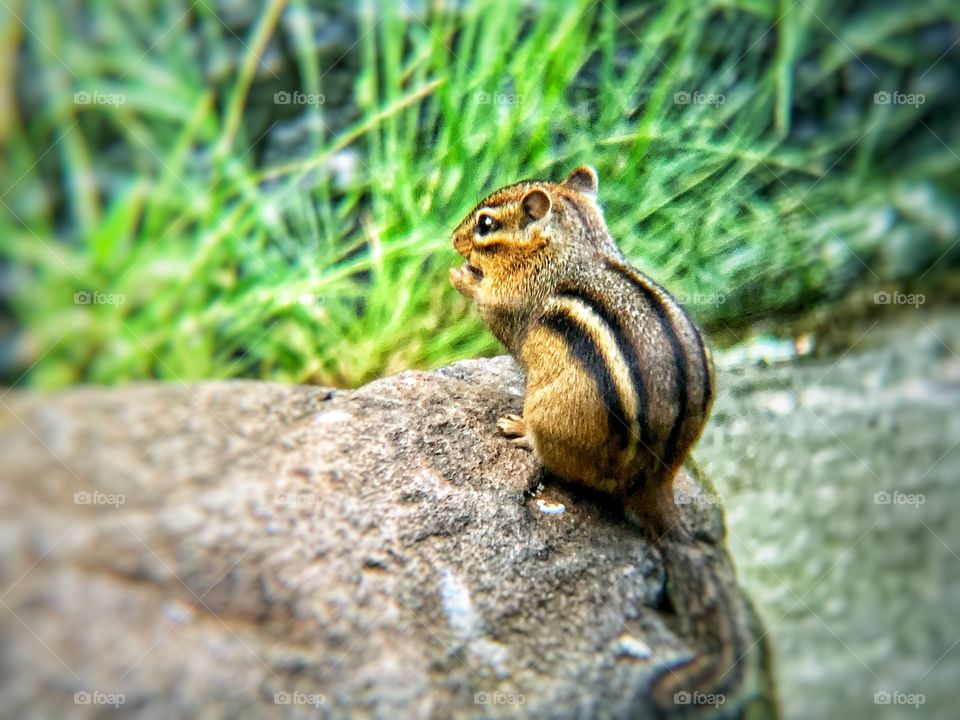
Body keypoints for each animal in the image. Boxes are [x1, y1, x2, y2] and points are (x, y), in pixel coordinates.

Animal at [449, 166, 747, 710]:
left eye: (484, 225)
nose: (452, 238)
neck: (575, 248)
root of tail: (656, 479)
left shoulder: (515, 305)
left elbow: (494, 310)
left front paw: (461, 275)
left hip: (551, 415)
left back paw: (520, 430)